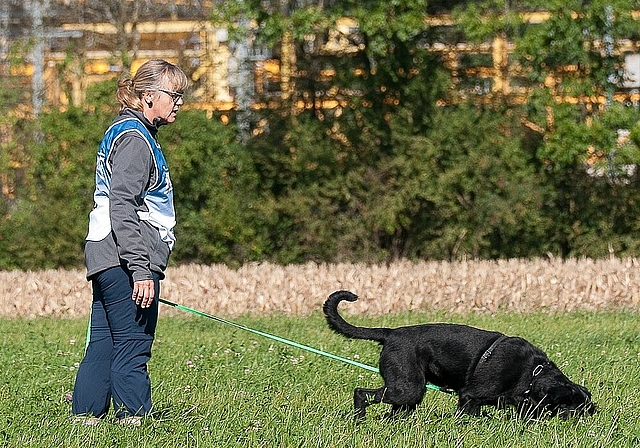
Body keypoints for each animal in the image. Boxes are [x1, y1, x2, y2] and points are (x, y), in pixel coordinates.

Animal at [322, 290, 596, 420]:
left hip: (409, 395)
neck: (532, 373)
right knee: (361, 393)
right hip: (407, 388)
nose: (594, 409)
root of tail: (390, 334)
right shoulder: (469, 397)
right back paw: (359, 419)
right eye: (574, 405)